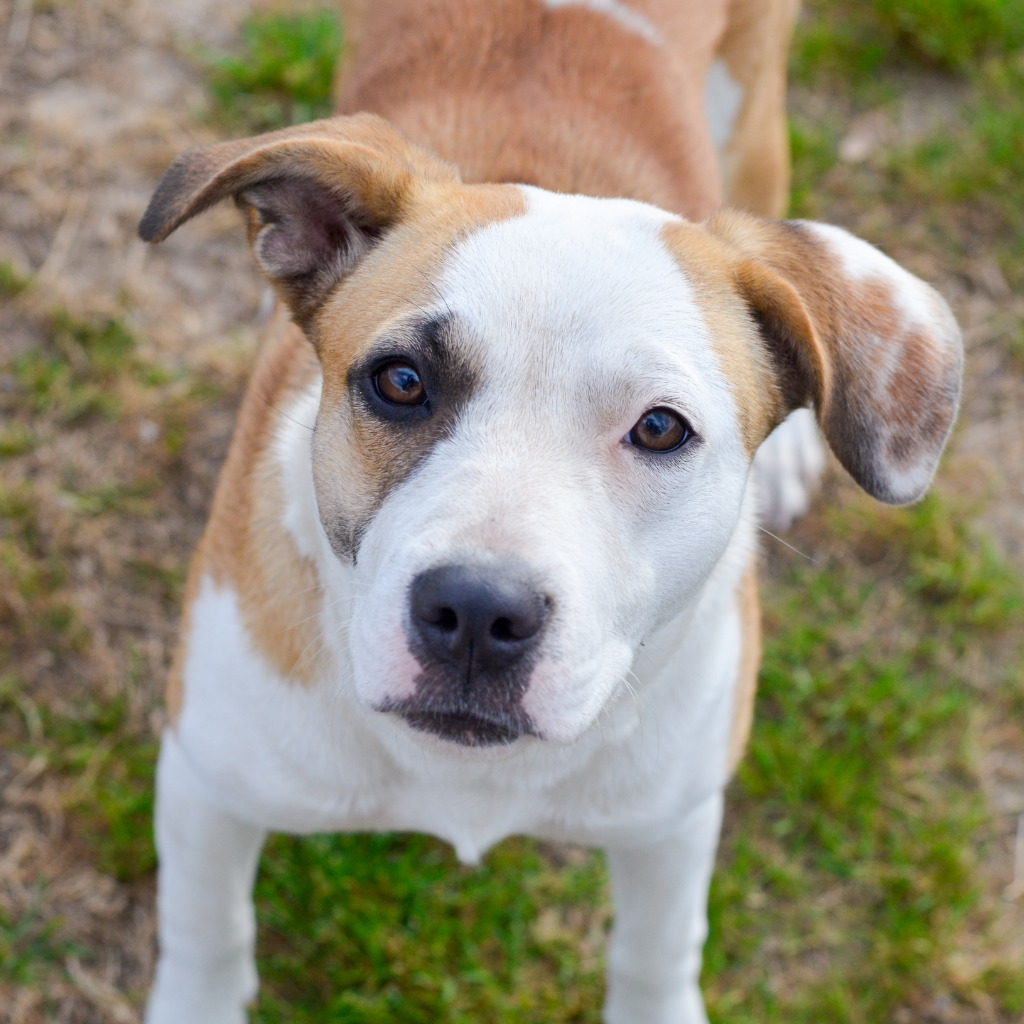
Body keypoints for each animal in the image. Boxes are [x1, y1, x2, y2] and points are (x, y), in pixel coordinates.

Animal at [140, 4, 962, 1019]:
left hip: (756, 115)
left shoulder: (670, 823)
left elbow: (656, 951)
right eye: (400, 382)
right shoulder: (206, 778)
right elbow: (208, 933)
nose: (476, 612)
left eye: (659, 428)